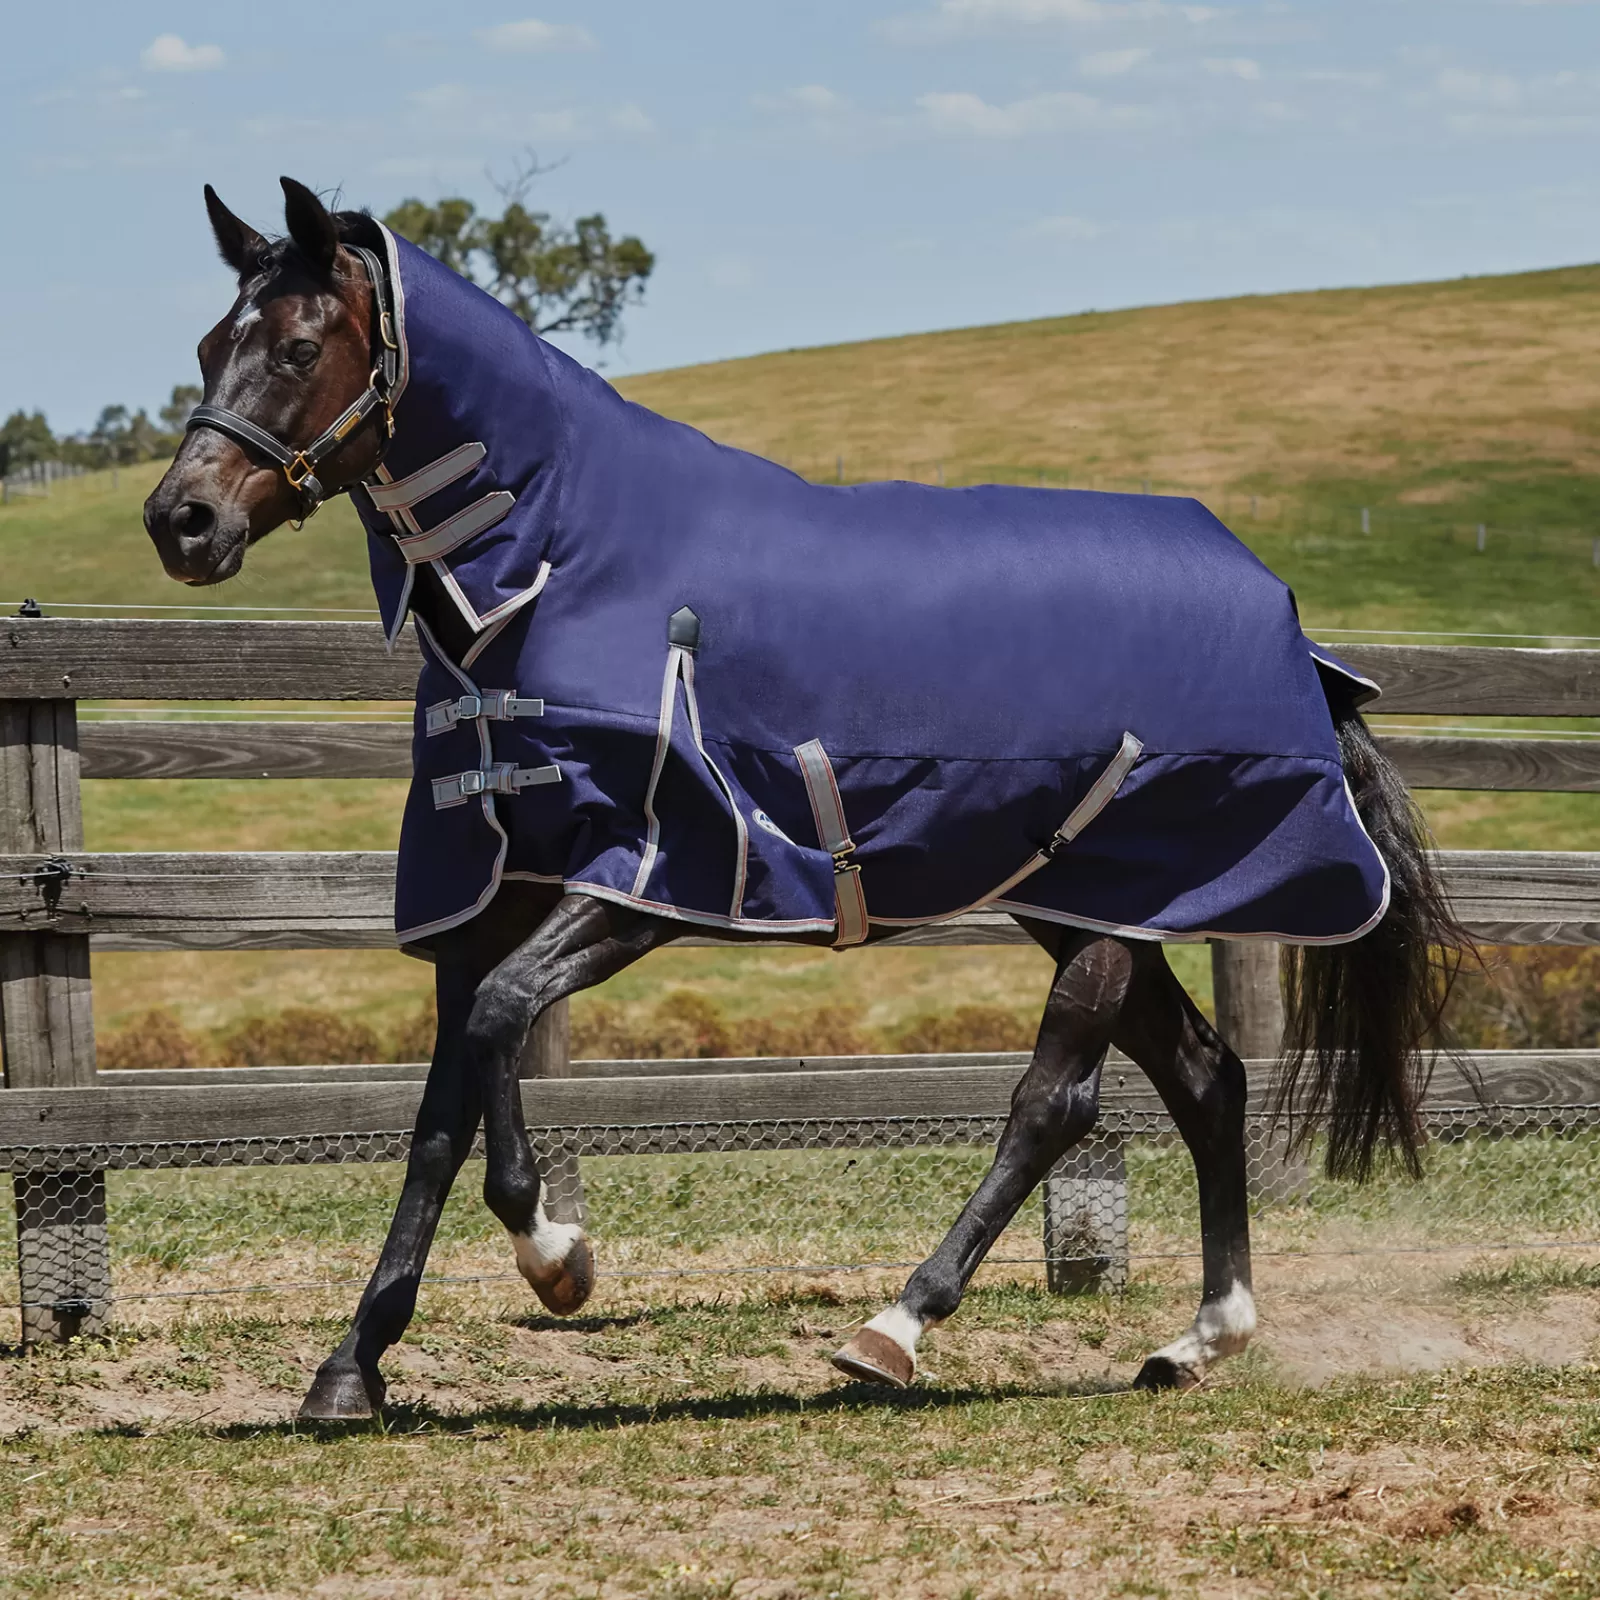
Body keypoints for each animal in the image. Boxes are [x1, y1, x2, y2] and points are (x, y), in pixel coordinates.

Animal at [144, 178, 1459, 1427]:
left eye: (299, 346)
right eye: (209, 342)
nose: (181, 521)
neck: (558, 565)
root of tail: (1282, 613)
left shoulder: (657, 873)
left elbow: (501, 1030)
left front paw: (558, 1257)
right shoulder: (495, 887)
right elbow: (445, 1101)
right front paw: (353, 1366)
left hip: (1117, 906)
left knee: (1058, 1099)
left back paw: (896, 1327)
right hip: (1089, 900)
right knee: (1204, 1076)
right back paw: (1197, 1339)